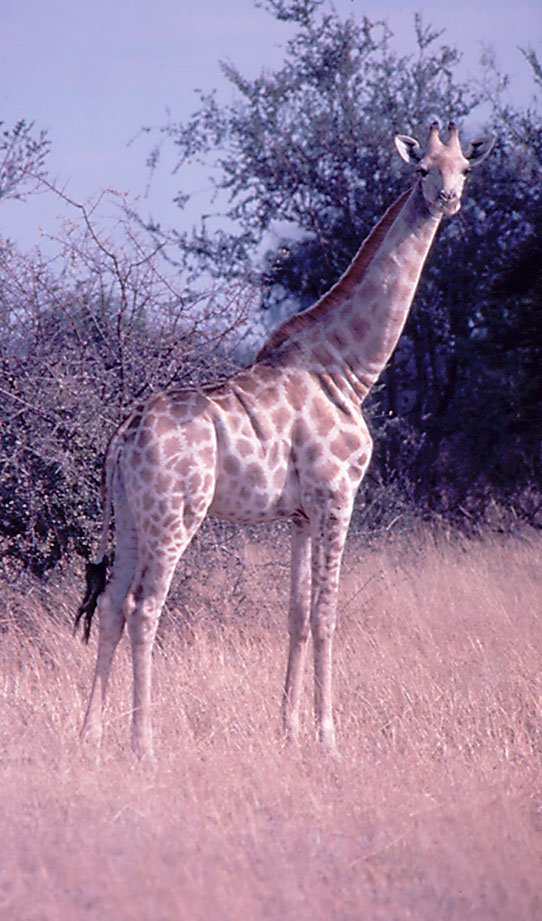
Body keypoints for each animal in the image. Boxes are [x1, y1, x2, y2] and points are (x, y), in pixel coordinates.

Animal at [76, 122, 495, 759]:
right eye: (422, 168)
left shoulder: (299, 514)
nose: (447, 199)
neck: (347, 369)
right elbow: (326, 613)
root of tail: (121, 438)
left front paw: (289, 728)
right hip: (176, 513)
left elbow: (296, 613)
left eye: (465, 168)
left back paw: (90, 734)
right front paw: (328, 737)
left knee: (108, 604)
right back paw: (142, 743)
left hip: (128, 516)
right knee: (145, 607)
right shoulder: (336, 496)